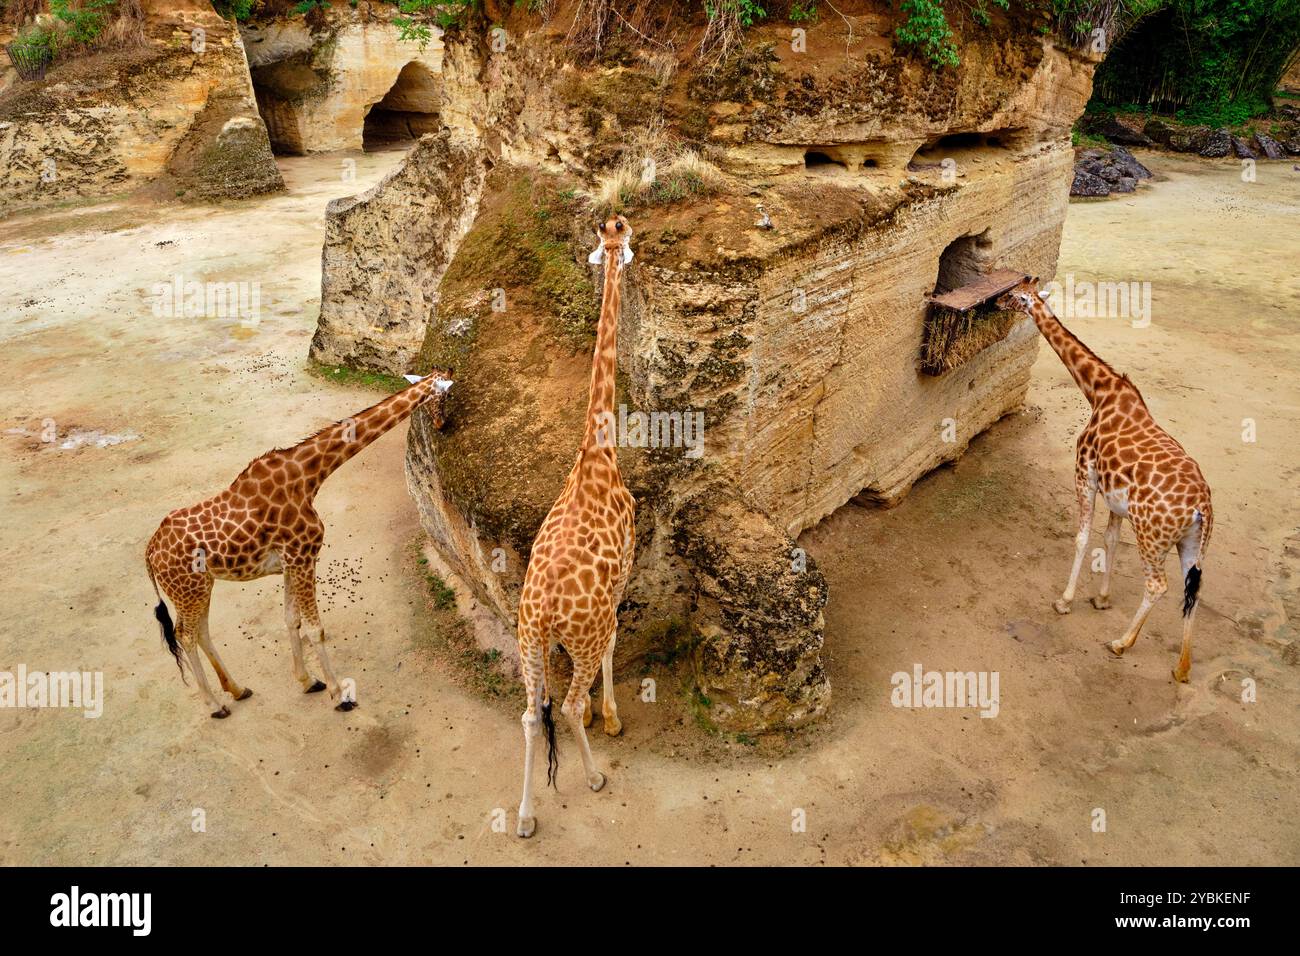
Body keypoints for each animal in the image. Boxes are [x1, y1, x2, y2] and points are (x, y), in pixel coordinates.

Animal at [143, 369, 452, 712]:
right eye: (446, 395)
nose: (444, 424)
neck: (307, 476)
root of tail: (150, 553)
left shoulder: (292, 562)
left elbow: (291, 620)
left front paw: (308, 681)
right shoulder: (302, 557)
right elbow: (316, 628)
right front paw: (339, 695)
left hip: (200, 587)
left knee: (201, 632)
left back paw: (237, 689)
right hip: (188, 591)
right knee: (185, 635)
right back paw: (215, 705)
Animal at [998, 277, 1211, 681]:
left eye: (1015, 295)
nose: (997, 303)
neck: (1099, 391)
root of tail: (1202, 509)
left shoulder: (1086, 474)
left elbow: (1082, 537)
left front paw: (1064, 601)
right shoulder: (1117, 497)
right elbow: (1109, 540)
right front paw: (1101, 597)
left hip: (1151, 535)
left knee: (1158, 585)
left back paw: (1121, 643)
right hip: (1191, 545)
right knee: (1193, 591)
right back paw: (1182, 668)